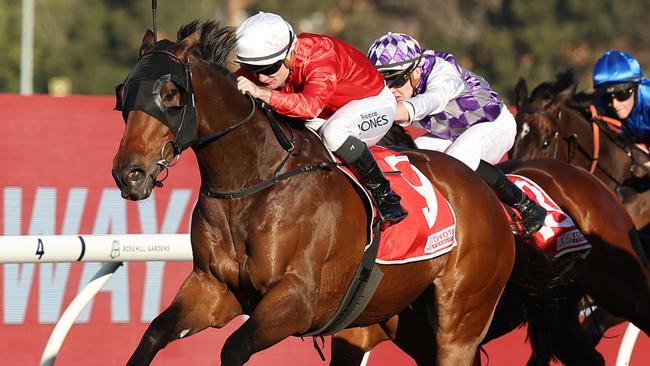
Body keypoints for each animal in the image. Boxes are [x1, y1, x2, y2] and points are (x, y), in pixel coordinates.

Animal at [110, 21, 516, 364]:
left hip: (460, 321)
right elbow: (154, 333)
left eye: (170, 93)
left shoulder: (296, 299)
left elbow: (234, 347)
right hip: (403, 316)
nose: (128, 174)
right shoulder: (213, 288)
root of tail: (482, 190)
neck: (248, 185)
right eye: (124, 92)